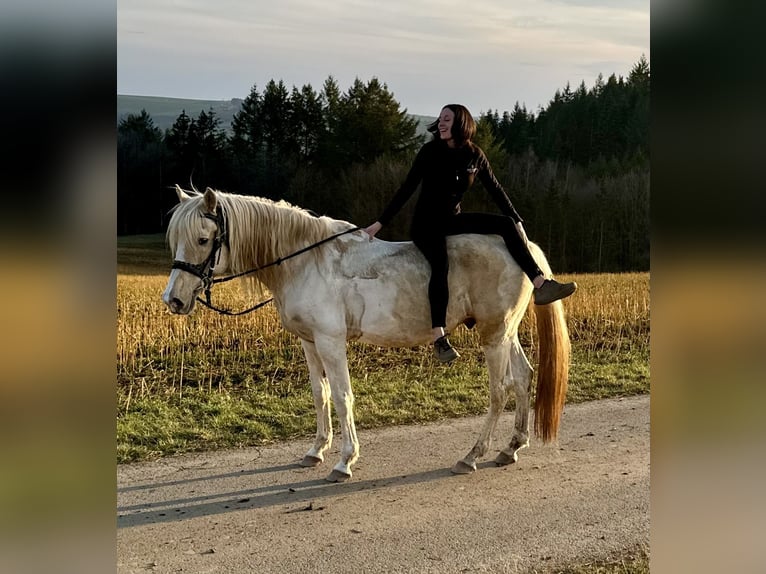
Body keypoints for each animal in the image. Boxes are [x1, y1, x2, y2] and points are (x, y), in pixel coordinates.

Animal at [164, 187, 568, 484]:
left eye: (203, 239)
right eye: (176, 240)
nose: (174, 300)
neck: (305, 262)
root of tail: (526, 250)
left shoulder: (330, 341)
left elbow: (343, 397)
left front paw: (345, 460)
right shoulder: (309, 342)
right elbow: (320, 394)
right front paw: (316, 450)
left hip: (494, 335)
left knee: (500, 390)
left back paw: (471, 456)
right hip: (506, 333)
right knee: (523, 378)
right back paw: (511, 447)